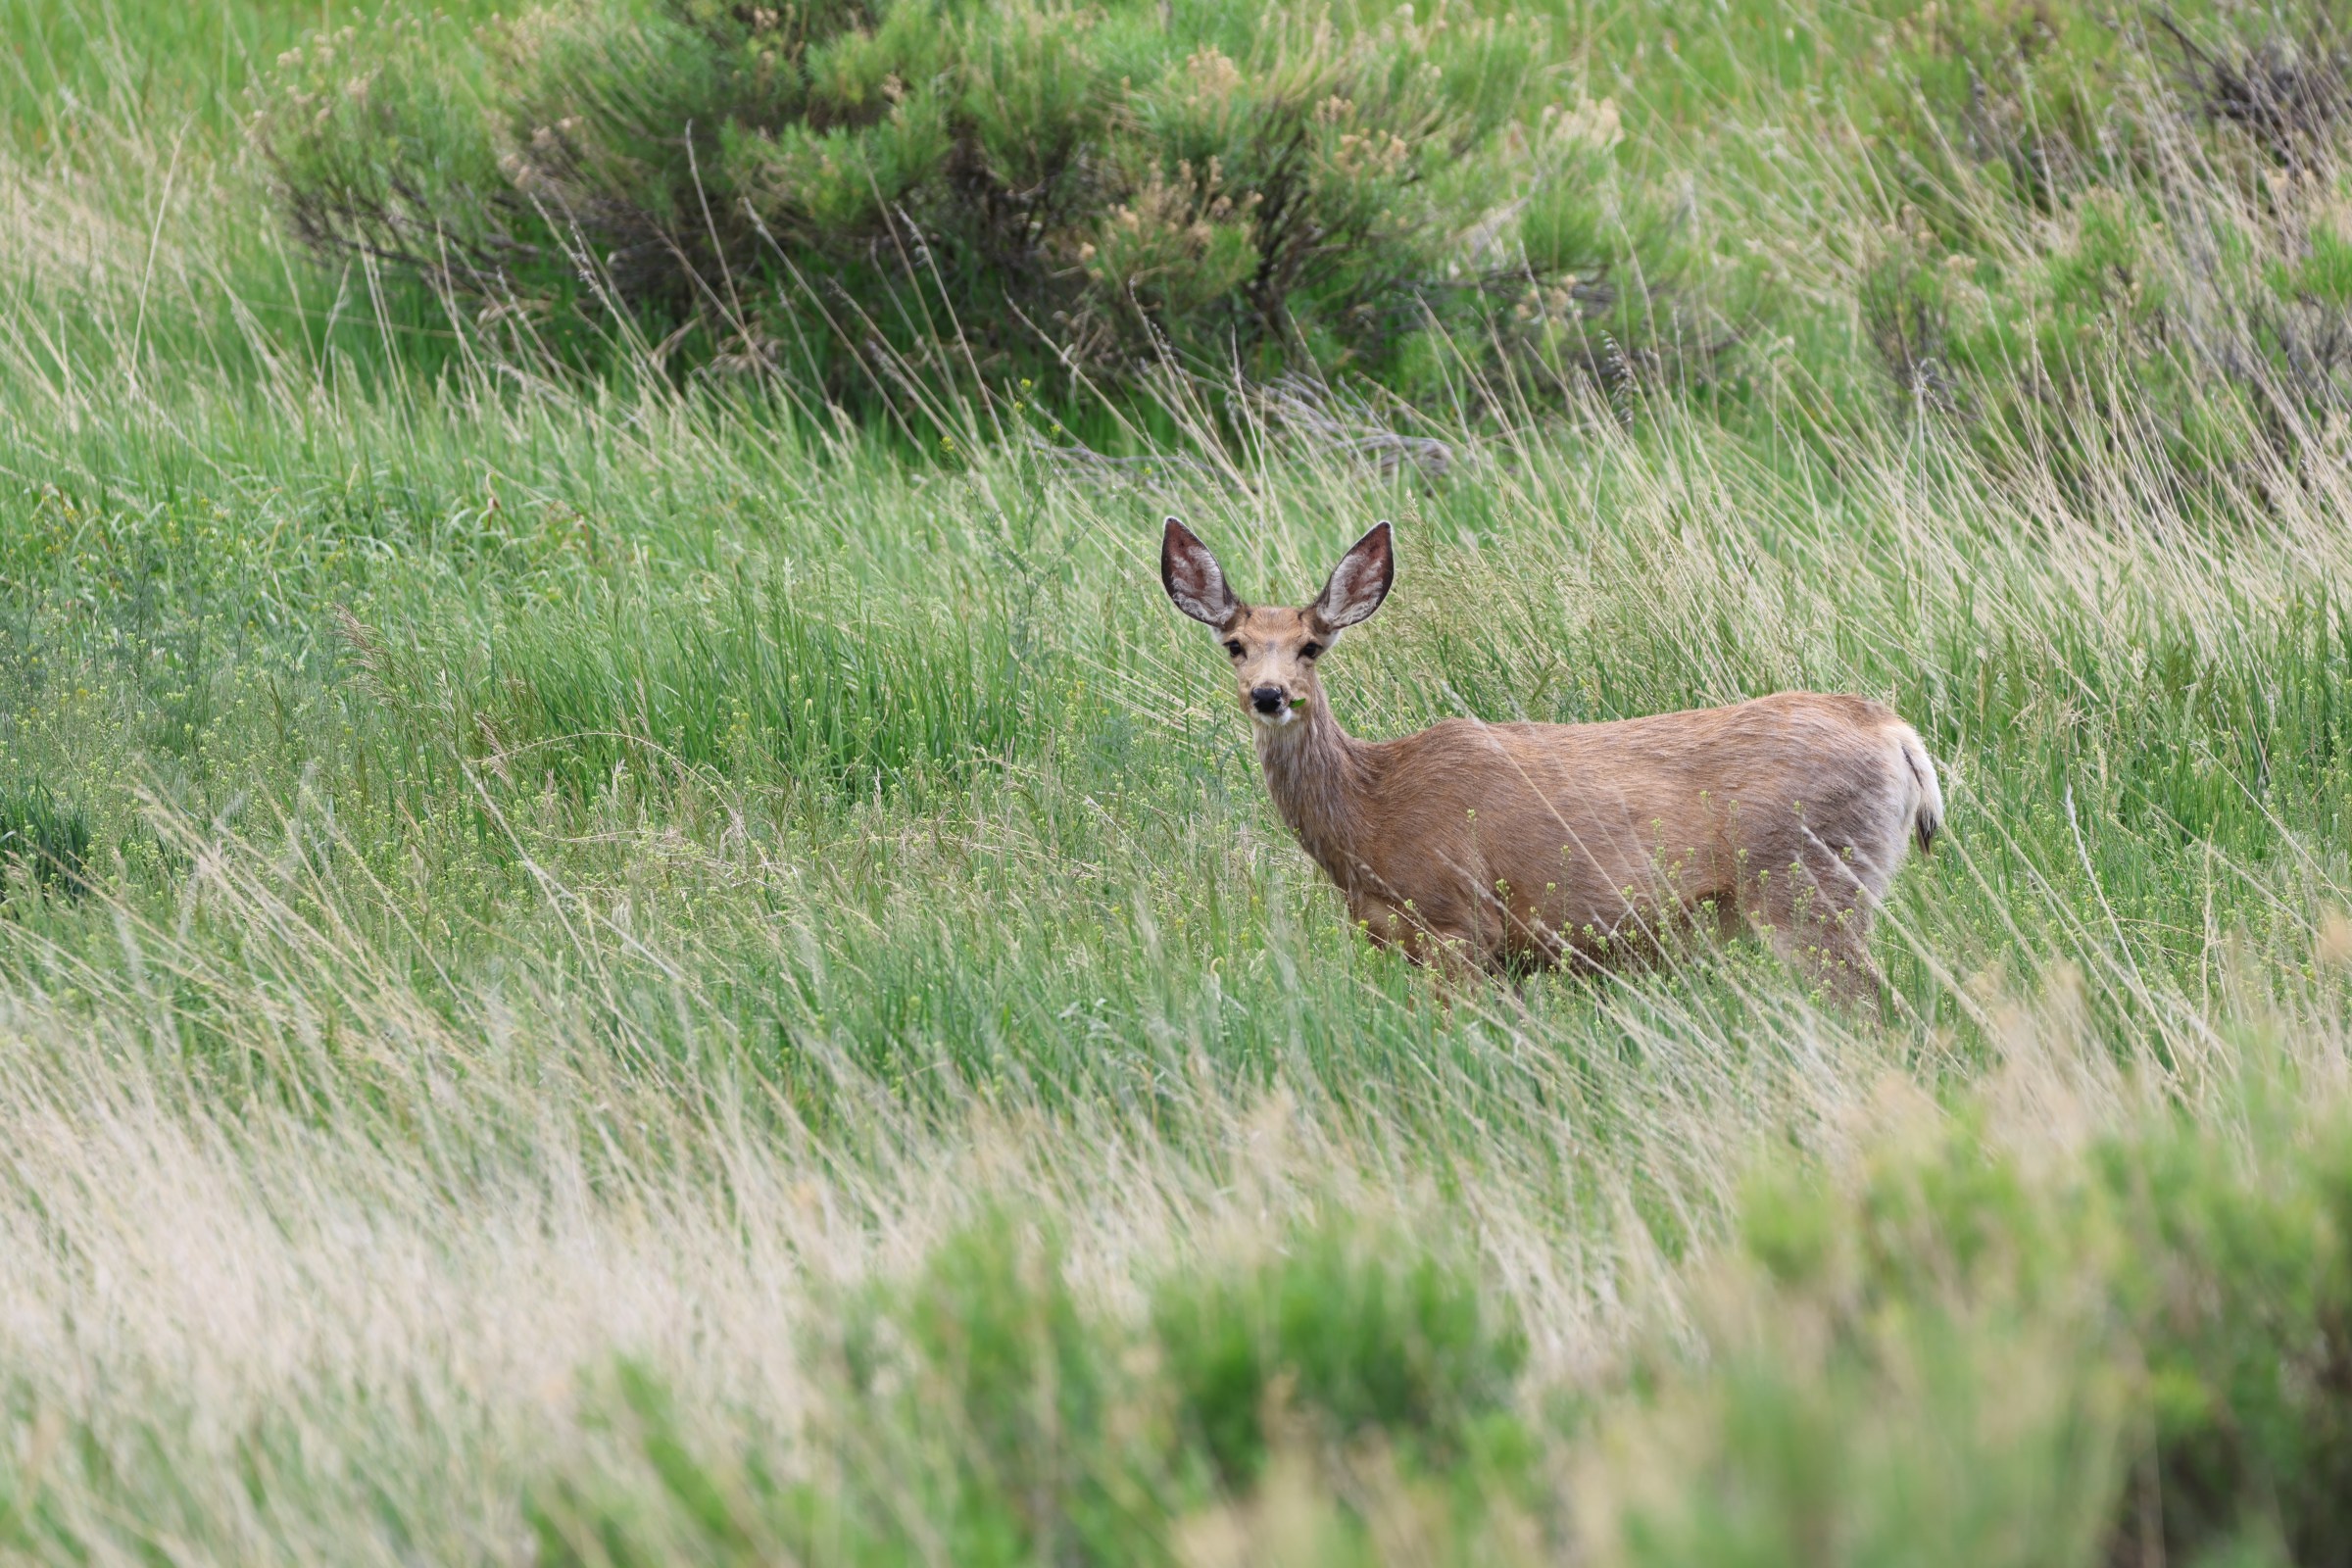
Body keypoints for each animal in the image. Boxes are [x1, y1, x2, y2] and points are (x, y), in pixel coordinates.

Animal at [1159, 516, 1943, 1003]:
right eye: (1235, 645)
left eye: (1312, 647)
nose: (1269, 695)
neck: (1369, 815)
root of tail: (1898, 734)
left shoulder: (1457, 924)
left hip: (1808, 884)